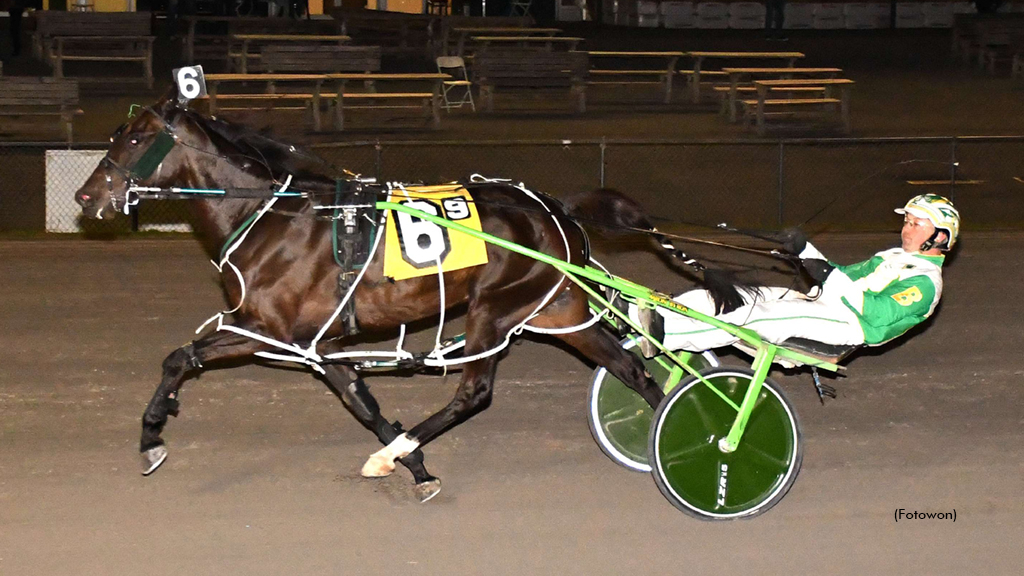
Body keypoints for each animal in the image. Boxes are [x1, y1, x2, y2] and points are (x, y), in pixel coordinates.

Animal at [70, 91, 729, 500]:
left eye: (135, 139)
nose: (84, 198)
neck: (270, 219)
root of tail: (555, 210)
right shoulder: (319, 346)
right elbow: (360, 401)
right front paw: (415, 468)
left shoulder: (264, 328)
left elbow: (178, 358)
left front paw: (151, 438)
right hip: (557, 311)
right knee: (634, 370)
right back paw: (686, 434)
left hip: (494, 312)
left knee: (474, 393)